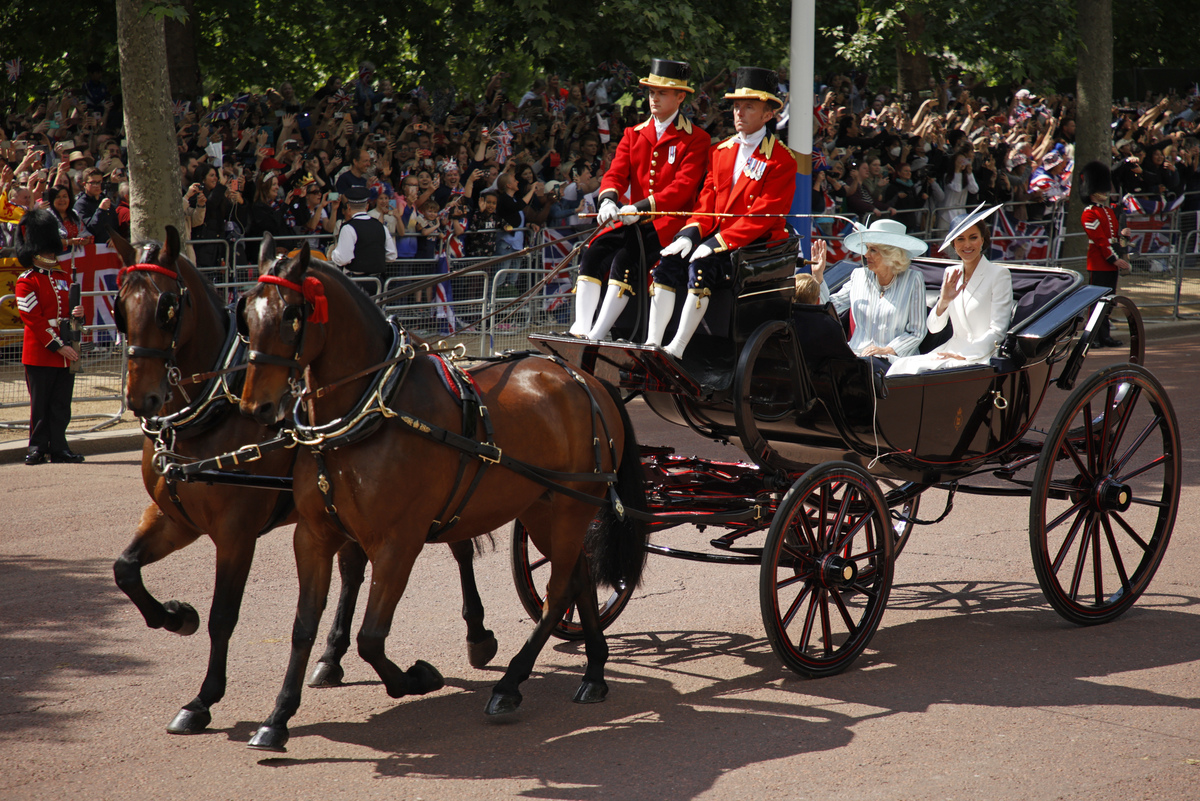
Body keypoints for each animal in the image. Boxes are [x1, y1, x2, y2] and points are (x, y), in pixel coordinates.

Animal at [111, 227, 496, 733]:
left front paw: (203, 699)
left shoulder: (236, 533)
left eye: (167, 307)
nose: (142, 399)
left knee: (460, 548)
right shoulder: (174, 517)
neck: (213, 413)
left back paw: (478, 634)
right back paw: (331, 657)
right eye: (119, 305)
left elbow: (222, 616)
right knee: (354, 570)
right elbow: (125, 570)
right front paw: (175, 616)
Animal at [235, 236, 648, 753]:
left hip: (573, 507)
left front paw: (418, 678)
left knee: (556, 594)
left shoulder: (398, 542)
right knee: (580, 578)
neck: (369, 413)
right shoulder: (314, 535)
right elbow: (303, 627)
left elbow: (372, 636)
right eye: (246, 314)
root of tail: (586, 380)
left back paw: (510, 684)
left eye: (293, 312)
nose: (257, 407)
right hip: (543, 509)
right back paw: (593, 673)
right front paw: (278, 717)